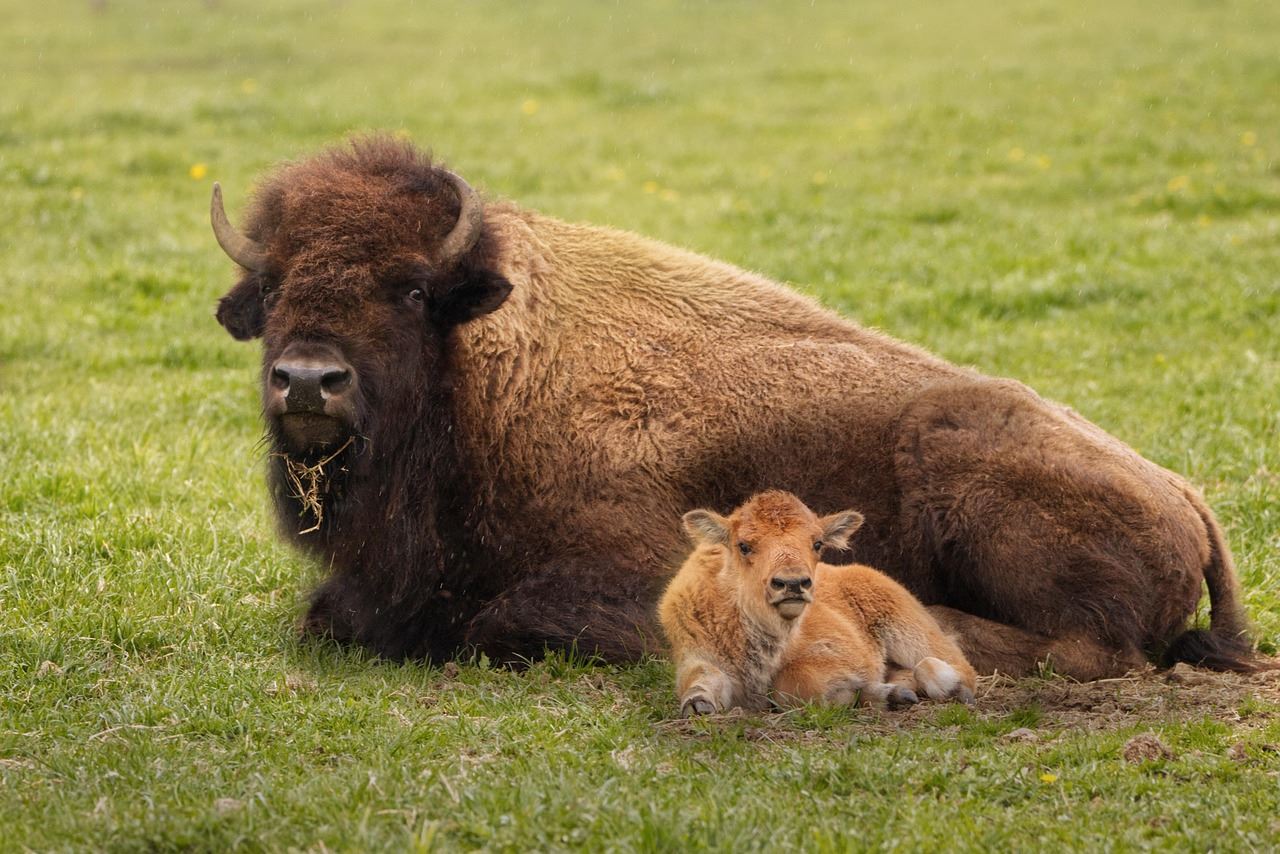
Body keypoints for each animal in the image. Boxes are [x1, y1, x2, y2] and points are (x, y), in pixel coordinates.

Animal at [210, 136, 1263, 679]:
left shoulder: (627, 572)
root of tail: (1187, 495)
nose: (308, 380)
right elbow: (329, 615)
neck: (483, 371)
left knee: (1090, 651)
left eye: (412, 290)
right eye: (274, 283)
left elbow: (495, 624)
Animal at [659, 491, 978, 716]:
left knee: (953, 665)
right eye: (744, 545)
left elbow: (793, 682)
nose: (792, 584)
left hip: (909, 630)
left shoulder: (840, 655)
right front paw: (698, 705)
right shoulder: (696, 653)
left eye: (817, 543)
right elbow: (700, 679)